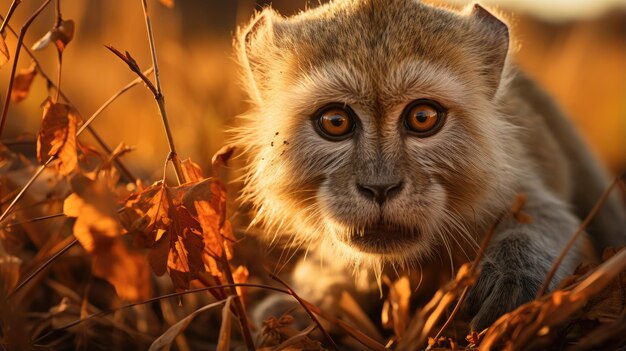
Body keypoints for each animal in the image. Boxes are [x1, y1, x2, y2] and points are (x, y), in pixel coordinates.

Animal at [232, 0, 624, 332]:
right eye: (335, 122)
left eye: (422, 118)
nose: (380, 188)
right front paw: (303, 305)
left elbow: (549, 218)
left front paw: (515, 273)